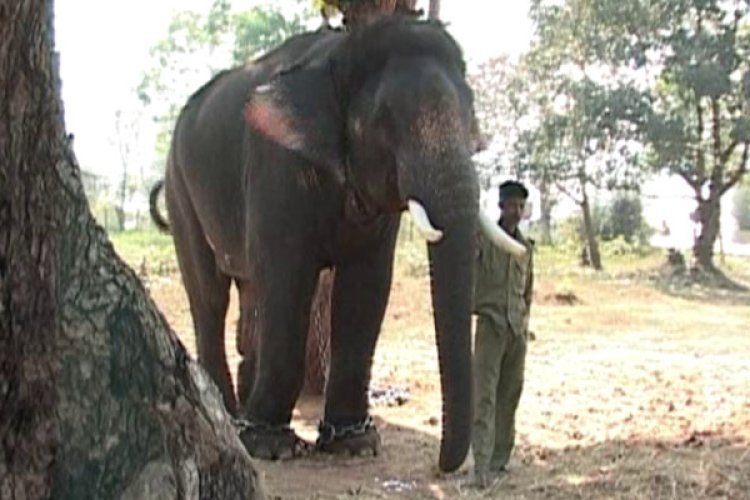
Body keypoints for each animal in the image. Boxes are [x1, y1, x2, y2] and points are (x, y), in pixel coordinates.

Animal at [149, 15, 525, 473]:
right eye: (382, 121)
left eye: (472, 119)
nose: (443, 464)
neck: (341, 54)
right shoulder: (277, 163)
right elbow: (288, 279)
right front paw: (270, 446)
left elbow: (365, 287)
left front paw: (354, 443)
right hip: (180, 187)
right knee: (210, 295)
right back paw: (231, 417)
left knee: (249, 289)